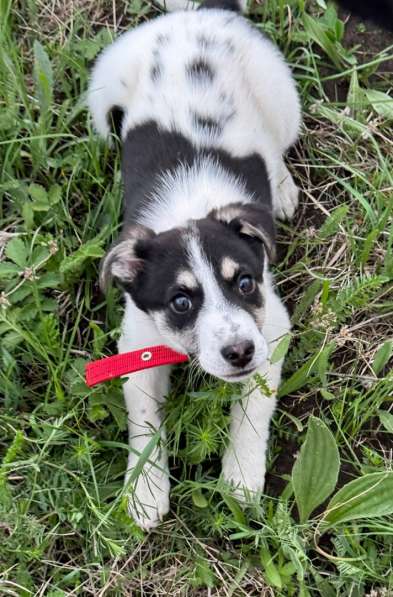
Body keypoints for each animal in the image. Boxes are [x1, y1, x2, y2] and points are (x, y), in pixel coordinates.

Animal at [88, 0, 300, 528]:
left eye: (244, 283)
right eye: (180, 302)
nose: (239, 353)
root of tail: (200, 13)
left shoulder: (271, 331)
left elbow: (252, 411)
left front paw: (241, 478)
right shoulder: (138, 345)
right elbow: (144, 421)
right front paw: (145, 491)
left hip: (280, 95)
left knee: (277, 146)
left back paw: (284, 189)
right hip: (103, 84)